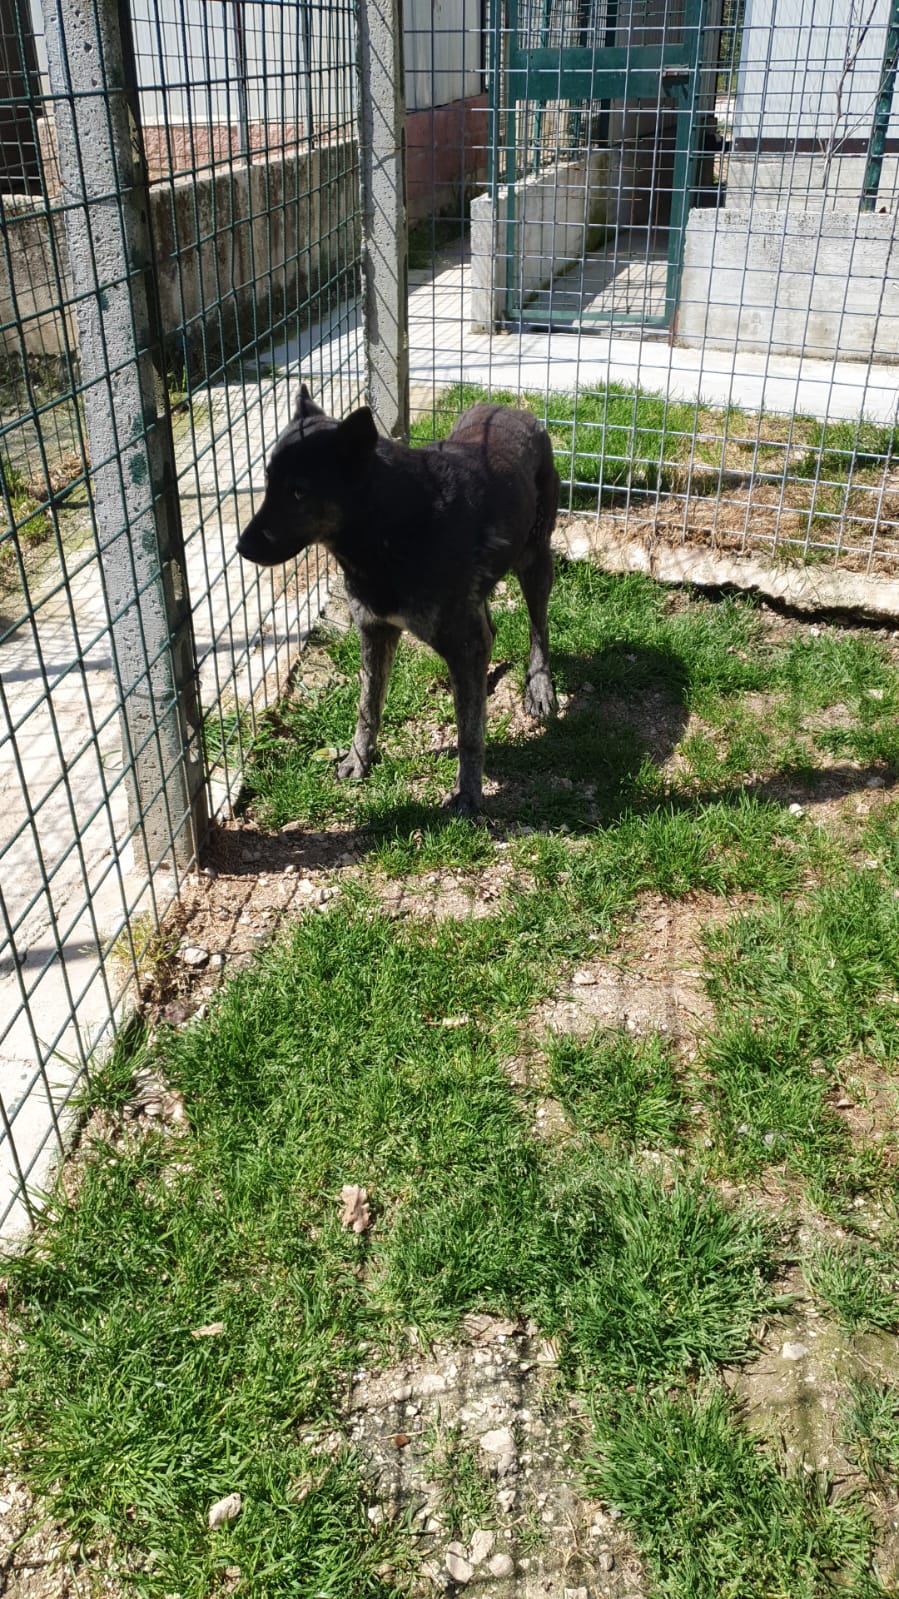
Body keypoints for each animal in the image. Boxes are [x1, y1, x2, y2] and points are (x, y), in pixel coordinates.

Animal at [238, 386, 559, 815]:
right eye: (269, 482)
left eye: (299, 491)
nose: (241, 547)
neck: (389, 524)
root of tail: (510, 408)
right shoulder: (375, 631)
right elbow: (367, 706)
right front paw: (359, 758)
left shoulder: (463, 642)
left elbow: (468, 735)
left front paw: (468, 794)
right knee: (491, 629)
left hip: (534, 560)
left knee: (538, 627)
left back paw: (539, 687)